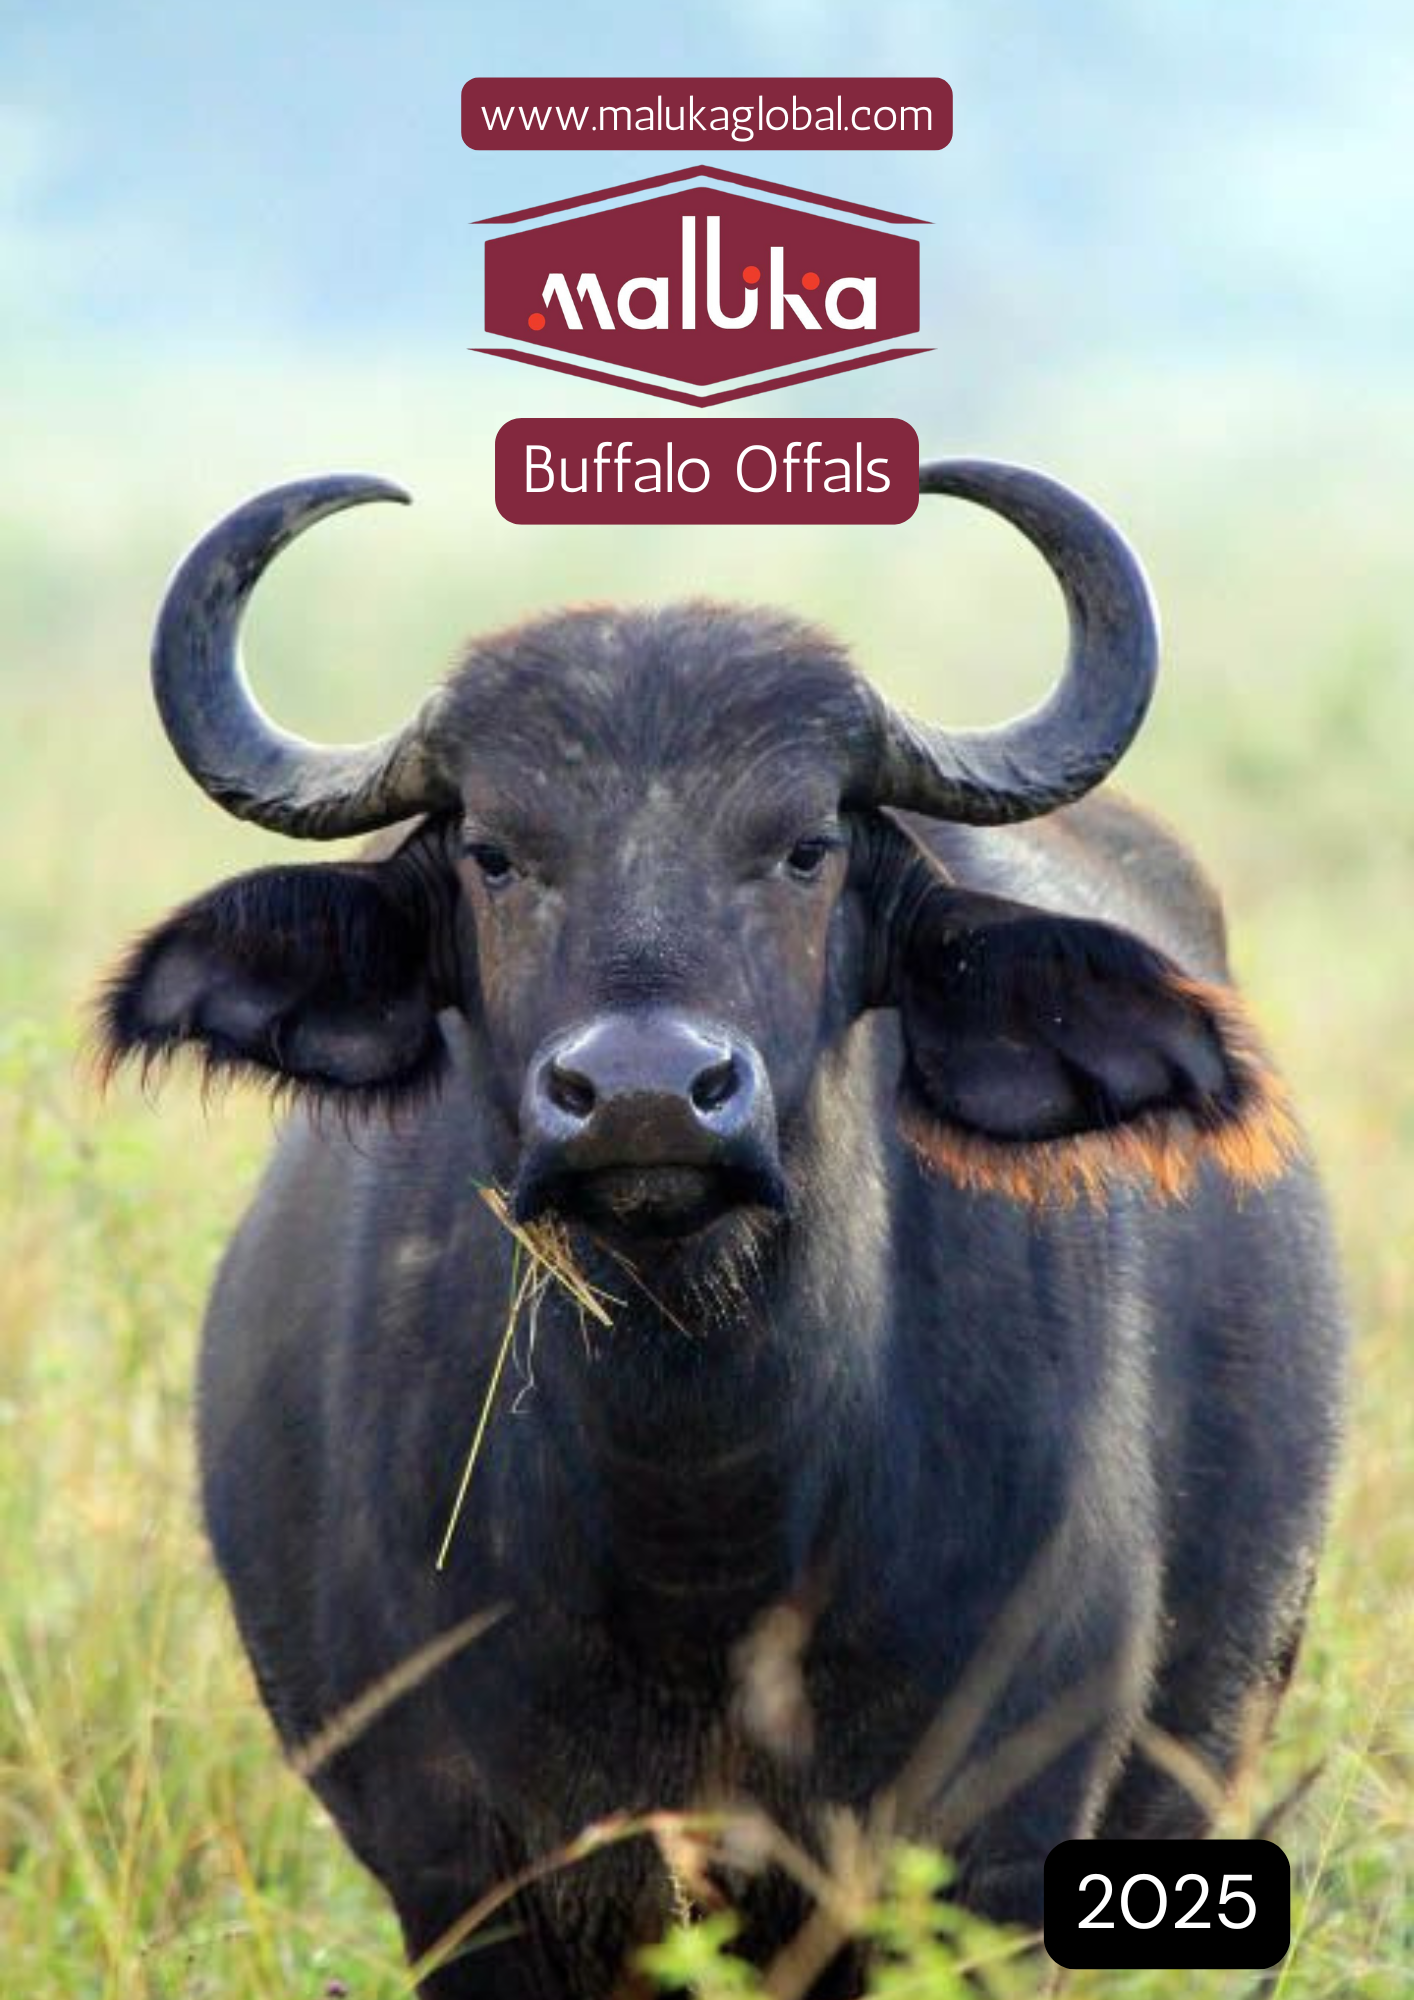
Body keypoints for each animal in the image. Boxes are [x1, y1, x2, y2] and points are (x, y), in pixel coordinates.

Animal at [100, 462, 1345, 1997]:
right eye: (495, 854)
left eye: (806, 847)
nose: (644, 1094)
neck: (700, 1537)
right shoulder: (460, 1873)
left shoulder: (994, 1859)